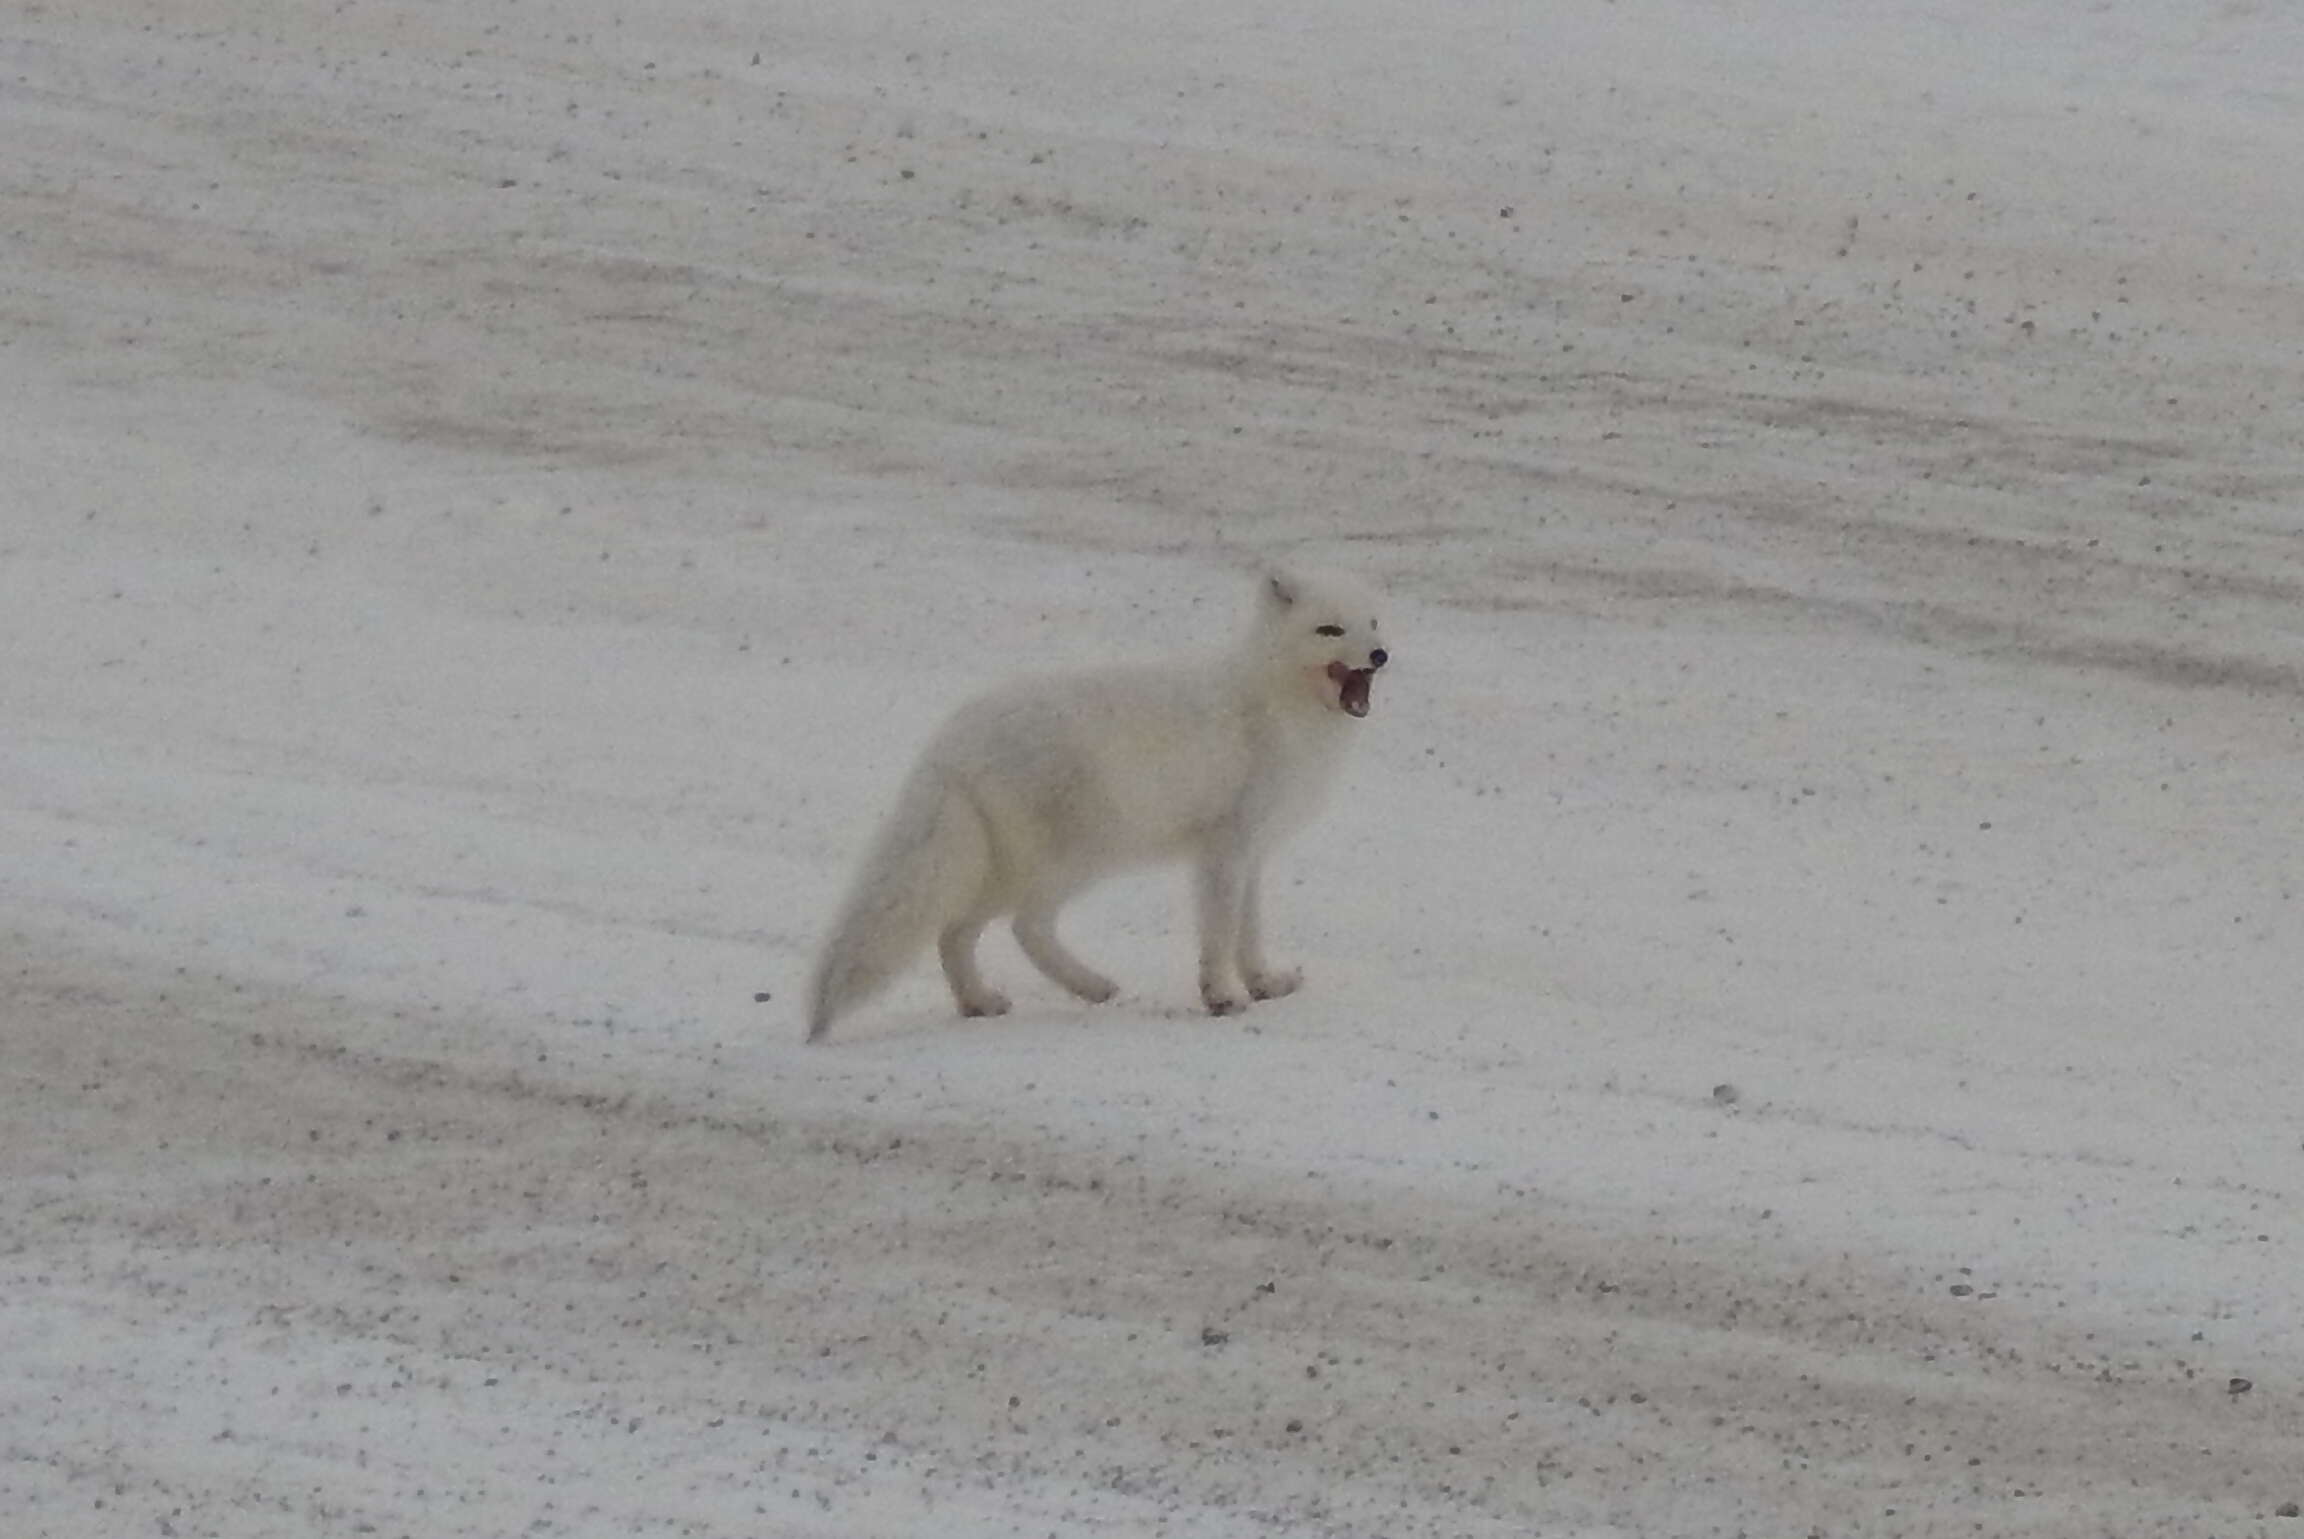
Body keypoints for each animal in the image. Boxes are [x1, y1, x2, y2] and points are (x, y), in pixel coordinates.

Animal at [806, 571, 1382, 1041]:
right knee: (1023, 927)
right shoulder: (1226, 849)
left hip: (1004, 868)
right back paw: (1093, 987)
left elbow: (1249, 932)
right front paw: (1222, 997)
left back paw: (981, 1003)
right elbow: (1219, 935)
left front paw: (1264, 985)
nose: (1381, 656)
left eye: (1373, 623)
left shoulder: (1254, 852)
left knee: (955, 933)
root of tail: (950, 742)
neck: (1275, 701)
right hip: (1075, 858)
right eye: (1330, 630)